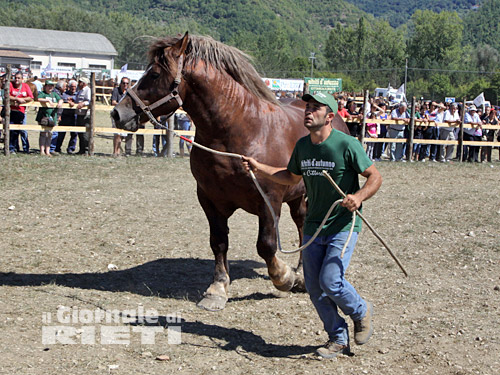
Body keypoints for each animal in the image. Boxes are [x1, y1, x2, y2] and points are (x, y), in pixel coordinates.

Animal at [112, 32, 350, 312]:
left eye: (155, 74)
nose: (118, 113)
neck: (241, 130)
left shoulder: (269, 201)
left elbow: (266, 245)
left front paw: (283, 277)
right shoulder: (209, 199)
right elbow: (218, 242)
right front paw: (218, 288)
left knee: (307, 228)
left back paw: (301, 273)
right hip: (298, 196)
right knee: (303, 223)